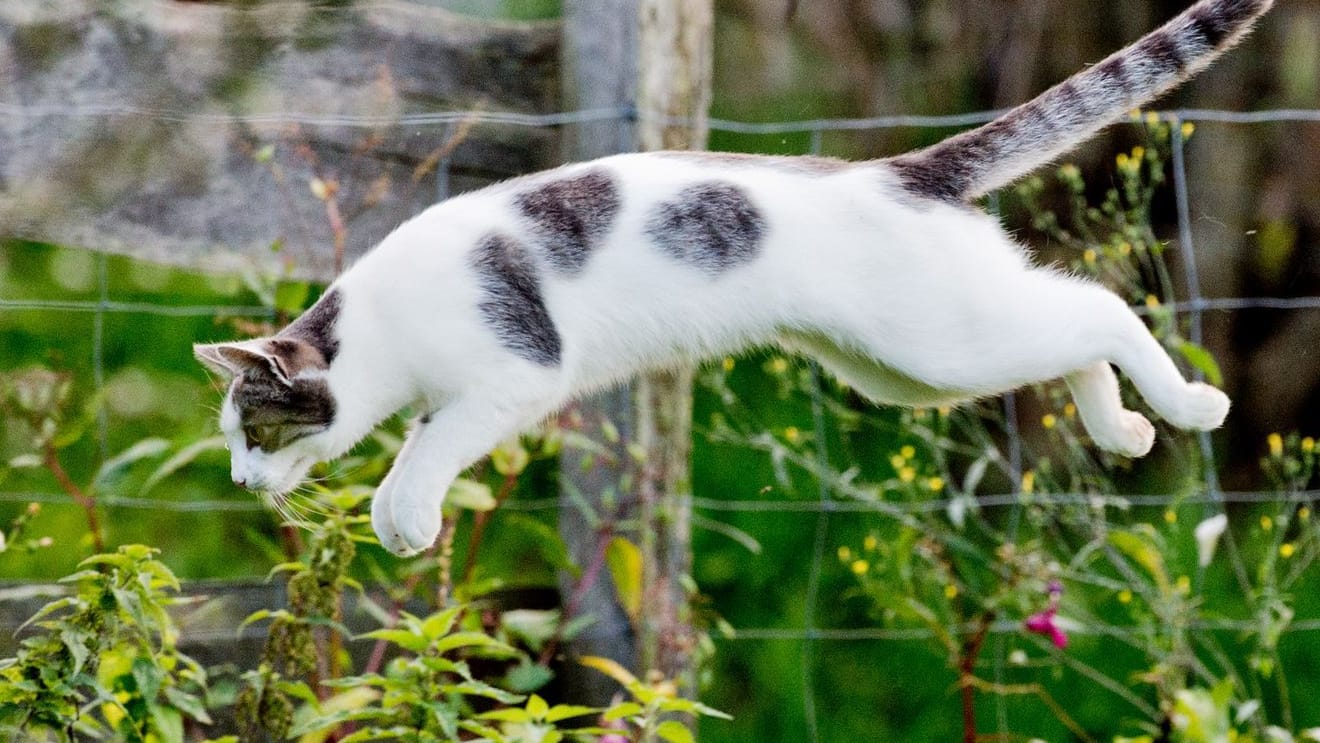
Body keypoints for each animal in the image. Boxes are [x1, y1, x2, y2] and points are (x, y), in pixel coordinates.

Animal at [192, 0, 1267, 559]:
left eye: (256, 432)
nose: (240, 480)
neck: (381, 330)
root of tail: (898, 169)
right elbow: (418, 440)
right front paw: (396, 513)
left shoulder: (515, 375)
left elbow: (426, 450)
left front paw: (406, 515)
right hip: (905, 368)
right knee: (1070, 327)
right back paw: (1124, 430)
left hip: (939, 342)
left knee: (1103, 306)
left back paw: (1191, 404)